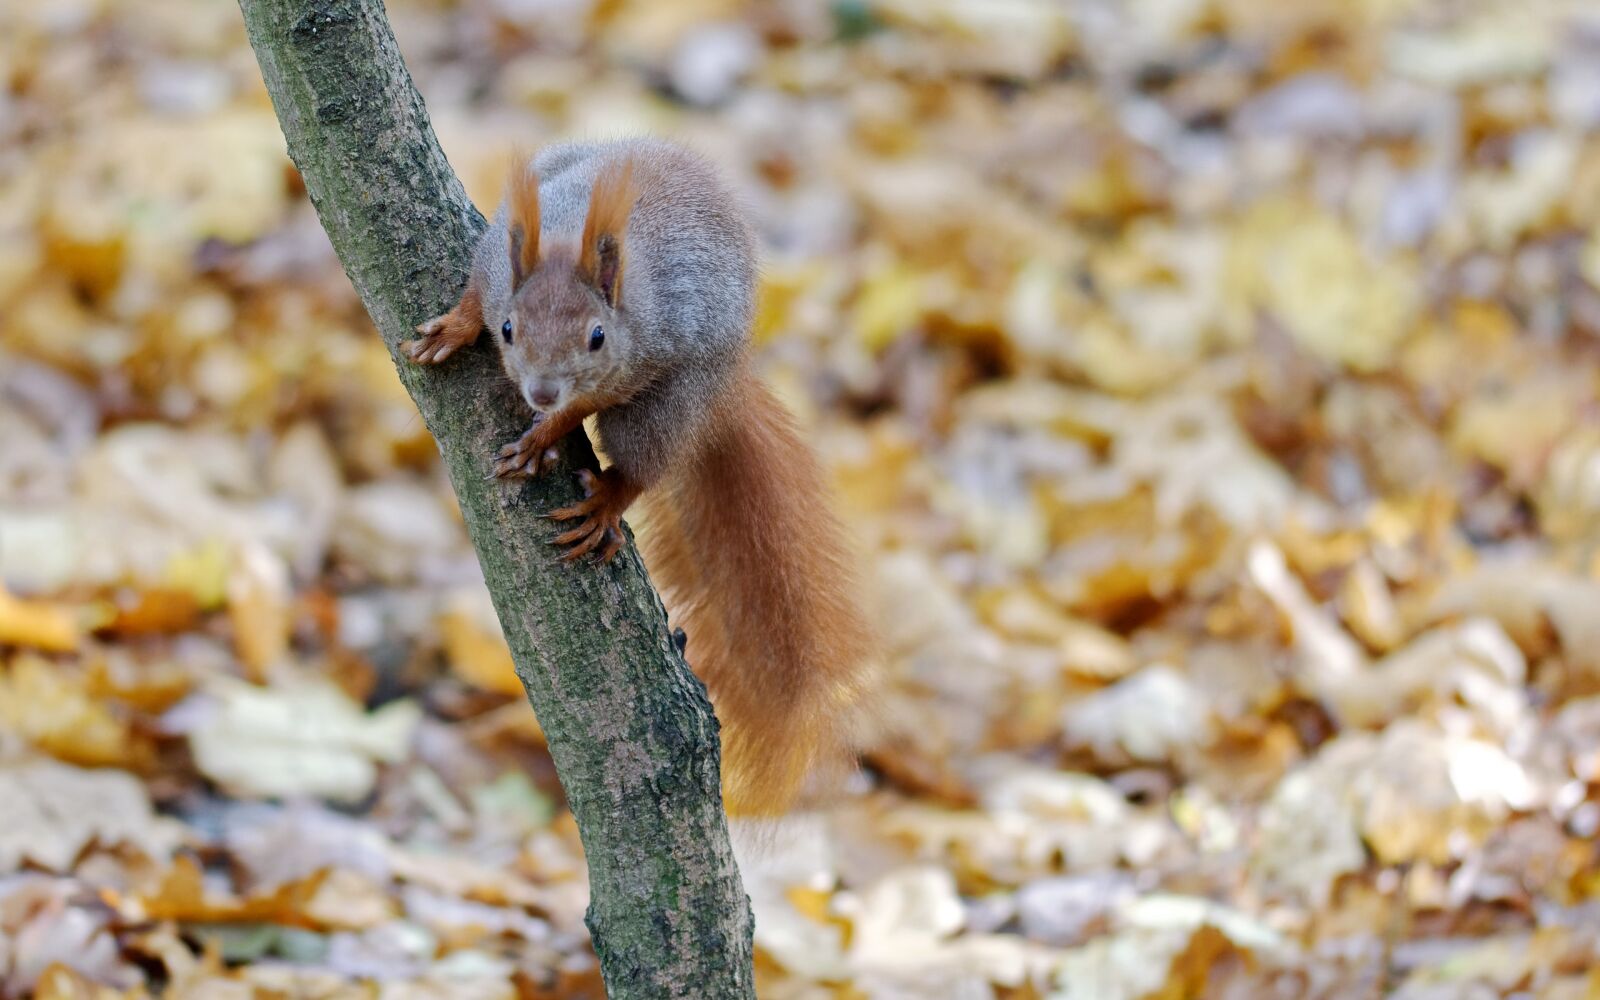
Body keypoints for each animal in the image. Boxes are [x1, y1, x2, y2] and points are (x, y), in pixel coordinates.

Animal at [404, 138, 875, 817]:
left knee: (641, 461)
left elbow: (587, 405)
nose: (540, 392)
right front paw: (457, 326)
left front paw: (544, 435)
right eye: (510, 329)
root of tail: (725, 388)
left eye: (597, 337)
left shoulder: (647, 352)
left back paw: (605, 502)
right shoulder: (495, 262)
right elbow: (475, 290)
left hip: (670, 404)